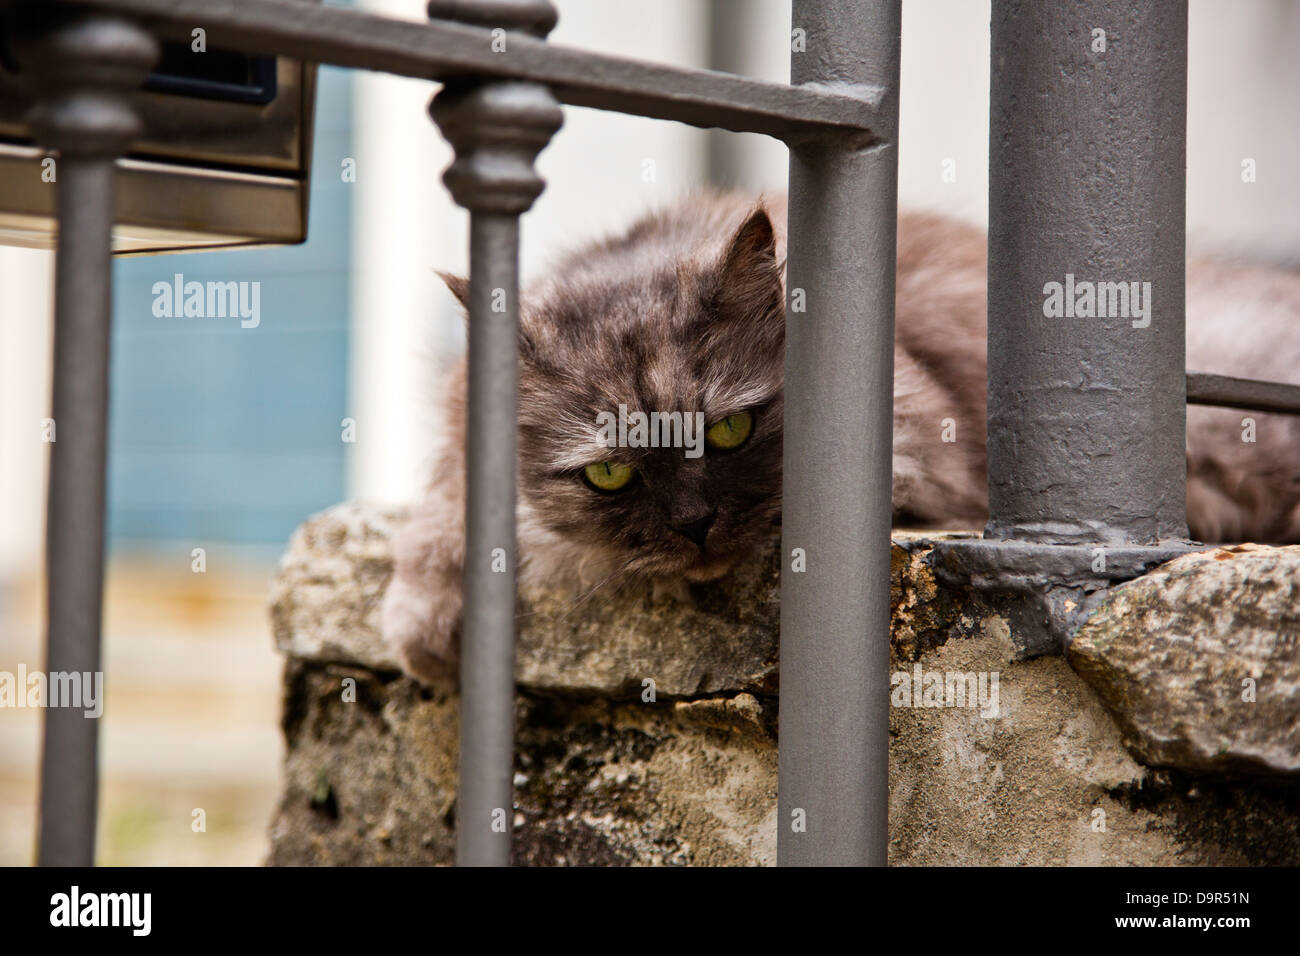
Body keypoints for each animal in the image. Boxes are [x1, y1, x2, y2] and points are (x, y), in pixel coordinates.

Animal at [382, 191, 1300, 686]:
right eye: (610, 475)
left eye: (732, 428)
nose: (695, 527)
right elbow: (444, 505)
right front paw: (425, 616)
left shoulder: (924, 447)